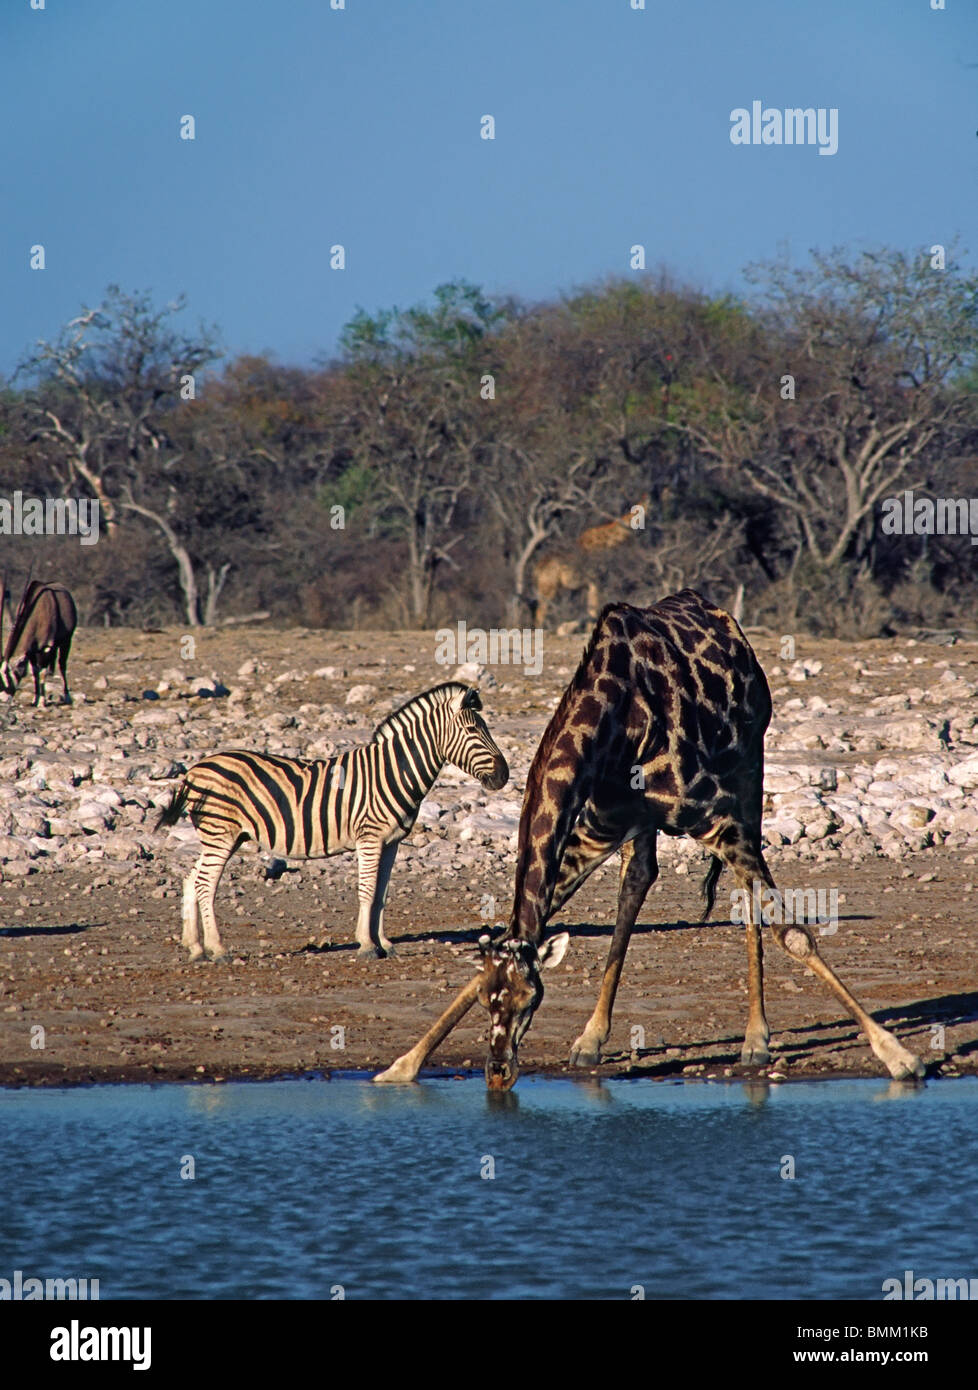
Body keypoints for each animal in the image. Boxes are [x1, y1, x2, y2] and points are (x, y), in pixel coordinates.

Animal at [0, 578, 76, 706]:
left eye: (9, 674)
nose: (3, 699)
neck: (37, 614)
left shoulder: (45, 648)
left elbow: (42, 672)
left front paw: (41, 701)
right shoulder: (31, 651)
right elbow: (35, 672)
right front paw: (35, 699)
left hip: (66, 641)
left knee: (62, 665)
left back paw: (67, 697)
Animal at [156, 678, 508, 961]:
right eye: (473, 730)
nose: (504, 776)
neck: (393, 771)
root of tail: (195, 769)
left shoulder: (392, 842)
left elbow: (382, 893)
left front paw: (385, 944)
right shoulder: (370, 838)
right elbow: (367, 890)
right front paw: (367, 945)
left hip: (222, 836)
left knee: (191, 879)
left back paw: (196, 948)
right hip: (221, 833)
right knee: (205, 884)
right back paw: (218, 950)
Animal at [375, 586, 922, 1084]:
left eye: (531, 998)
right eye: (490, 999)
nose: (498, 1072)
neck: (614, 721)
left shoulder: (715, 819)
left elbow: (794, 934)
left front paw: (898, 1056)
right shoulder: (601, 827)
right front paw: (402, 1065)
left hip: (750, 770)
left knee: (745, 895)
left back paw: (756, 1039)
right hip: (643, 824)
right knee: (638, 881)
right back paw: (592, 1039)